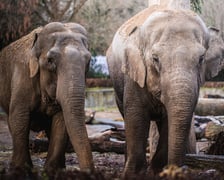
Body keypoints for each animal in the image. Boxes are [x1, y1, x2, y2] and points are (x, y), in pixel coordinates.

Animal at [0, 21, 94, 172]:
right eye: (50, 60)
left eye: (89, 61)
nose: (87, 172)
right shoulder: (22, 76)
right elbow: (19, 117)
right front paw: (21, 169)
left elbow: (61, 120)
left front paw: (52, 170)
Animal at [106, 3, 224, 176]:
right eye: (155, 59)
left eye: (201, 58)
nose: (180, 170)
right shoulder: (134, 77)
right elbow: (136, 118)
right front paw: (134, 174)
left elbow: (170, 120)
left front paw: (158, 172)